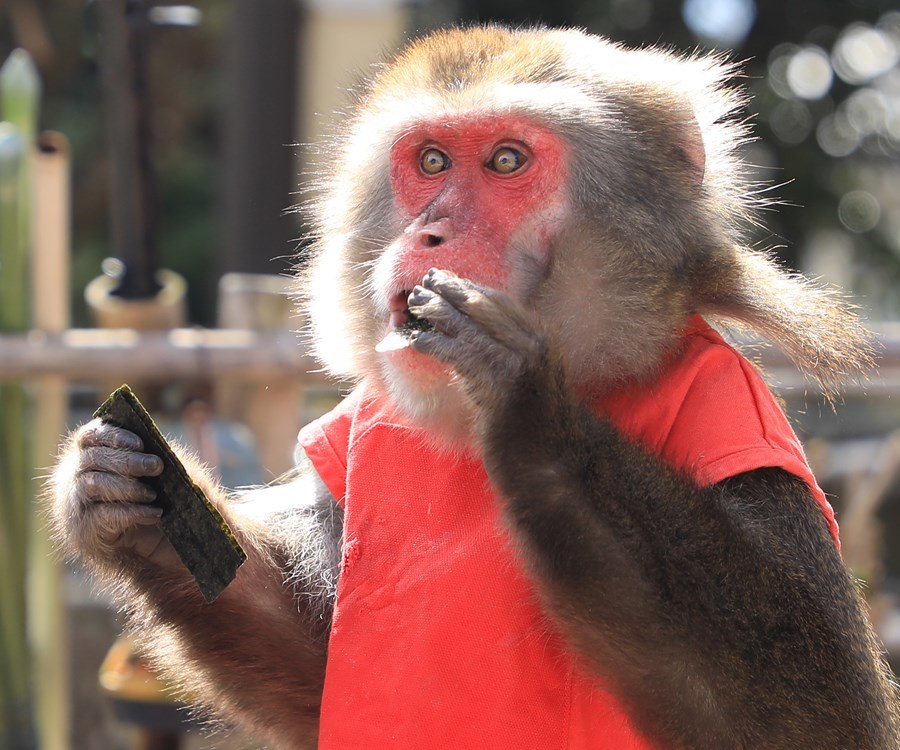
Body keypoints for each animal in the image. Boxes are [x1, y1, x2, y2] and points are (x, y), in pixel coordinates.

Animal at [47, 25, 900, 750]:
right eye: (431, 163)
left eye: (507, 163)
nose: (430, 231)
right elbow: (317, 666)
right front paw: (128, 509)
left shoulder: (735, 411)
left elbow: (819, 723)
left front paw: (526, 403)